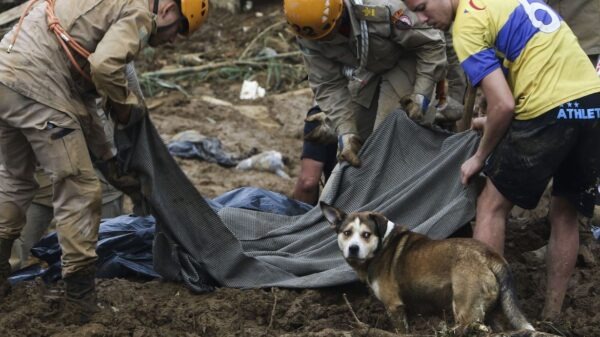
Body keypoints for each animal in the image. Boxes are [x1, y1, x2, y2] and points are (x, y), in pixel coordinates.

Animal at [322, 201, 536, 332]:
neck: (382, 244)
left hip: (465, 309)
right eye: (347, 233)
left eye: (366, 234)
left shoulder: (394, 306)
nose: (353, 248)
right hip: (492, 309)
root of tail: (489, 255)